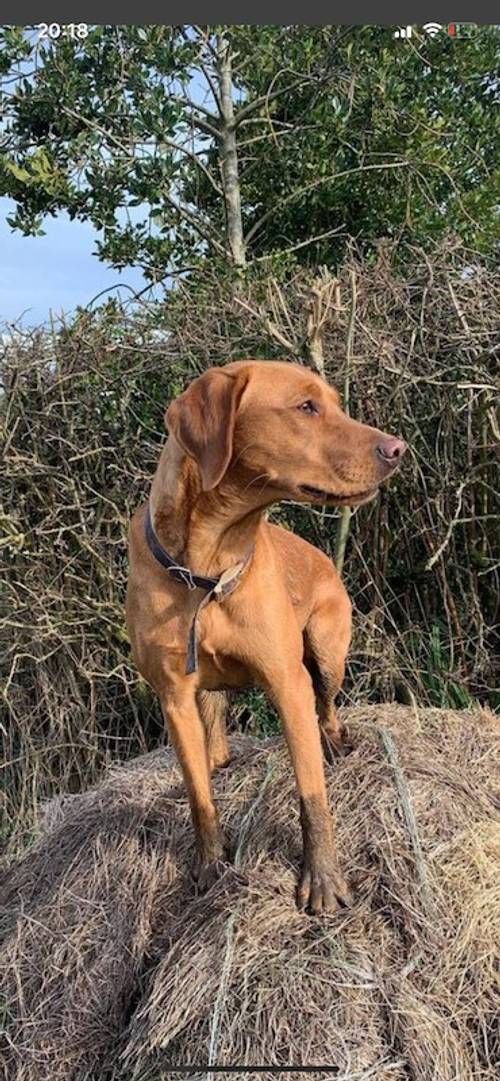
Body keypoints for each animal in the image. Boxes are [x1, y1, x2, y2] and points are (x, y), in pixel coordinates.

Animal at [126, 358, 406, 908]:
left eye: (334, 403)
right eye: (306, 407)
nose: (397, 449)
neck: (209, 566)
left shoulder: (286, 681)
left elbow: (311, 793)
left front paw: (323, 880)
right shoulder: (173, 696)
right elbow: (198, 793)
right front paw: (209, 865)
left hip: (328, 652)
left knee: (327, 707)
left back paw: (336, 742)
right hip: (207, 690)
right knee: (214, 739)